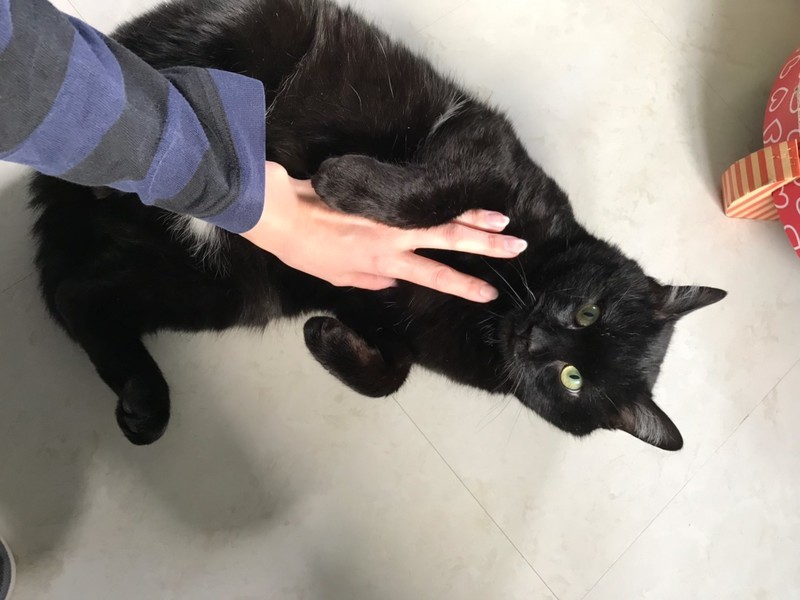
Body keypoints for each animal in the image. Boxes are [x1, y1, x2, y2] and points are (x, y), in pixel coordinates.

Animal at [30, 0, 726, 450]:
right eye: (587, 313)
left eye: (572, 380)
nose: (537, 340)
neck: (500, 303)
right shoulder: (485, 143)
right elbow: (432, 193)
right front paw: (343, 182)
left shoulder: (385, 321)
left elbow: (391, 377)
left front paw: (323, 339)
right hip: (247, 41)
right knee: (147, 90)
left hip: (222, 289)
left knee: (79, 296)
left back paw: (144, 403)